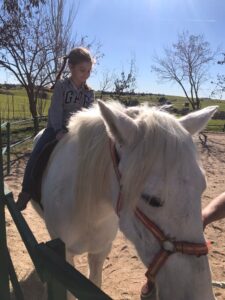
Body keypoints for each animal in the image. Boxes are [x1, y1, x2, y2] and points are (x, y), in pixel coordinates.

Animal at [35, 101, 218, 300]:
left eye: (202, 188)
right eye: (151, 199)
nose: (201, 294)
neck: (90, 213)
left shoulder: (100, 252)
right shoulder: (64, 257)